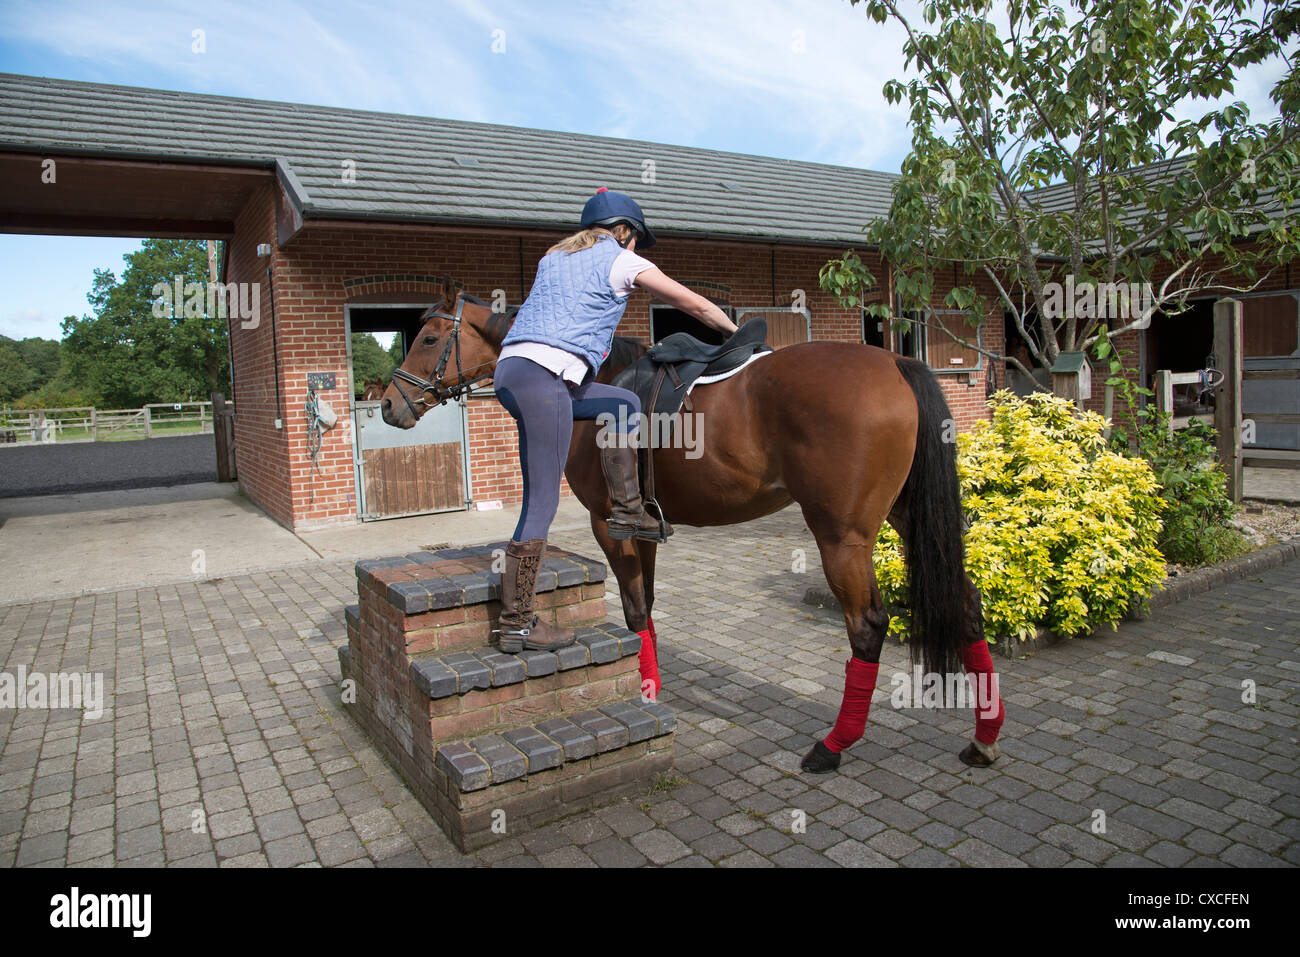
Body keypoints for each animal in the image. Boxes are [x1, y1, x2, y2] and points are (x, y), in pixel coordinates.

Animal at [379, 280, 1003, 774]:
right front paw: (648, 684)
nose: (388, 405)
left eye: (428, 338)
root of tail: (893, 363)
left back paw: (833, 745)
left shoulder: (607, 524)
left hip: (841, 538)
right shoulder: (642, 528)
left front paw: (645, 690)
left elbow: (634, 609)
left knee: (868, 626)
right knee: (966, 602)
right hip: (905, 518)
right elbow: (648, 610)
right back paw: (983, 738)